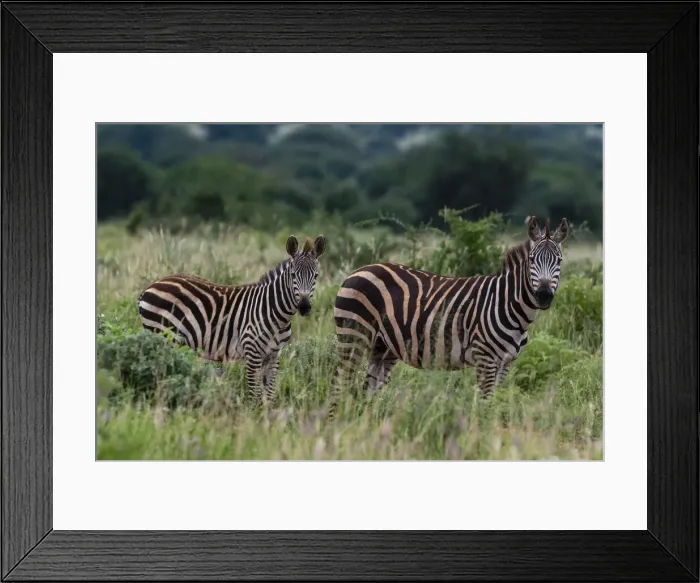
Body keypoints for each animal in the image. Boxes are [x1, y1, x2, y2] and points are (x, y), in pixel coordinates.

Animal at [137, 234, 326, 405]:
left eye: (316, 276)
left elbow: (269, 396)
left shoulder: (274, 355)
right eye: (293, 275)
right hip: (162, 335)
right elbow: (254, 396)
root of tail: (151, 285)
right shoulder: (252, 352)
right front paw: (252, 418)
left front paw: (267, 418)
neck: (277, 315)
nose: (304, 307)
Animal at [326, 216, 570, 420]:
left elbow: (493, 403)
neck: (509, 305)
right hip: (354, 334)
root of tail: (356, 270)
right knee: (339, 382)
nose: (544, 296)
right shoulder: (486, 358)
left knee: (369, 392)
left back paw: (368, 427)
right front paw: (479, 437)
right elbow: (484, 404)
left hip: (383, 347)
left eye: (559, 261)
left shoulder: (505, 363)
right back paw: (335, 426)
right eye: (532, 259)